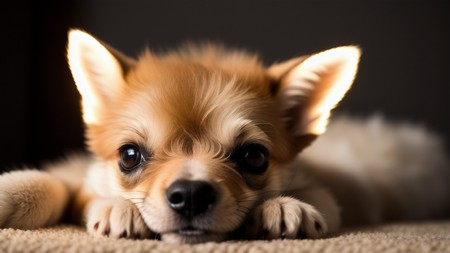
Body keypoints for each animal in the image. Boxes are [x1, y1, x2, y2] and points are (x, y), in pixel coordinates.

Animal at [0, 29, 448, 243]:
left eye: (254, 157)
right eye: (129, 156)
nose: (190, 195)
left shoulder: (327, 191)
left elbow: (314, 198)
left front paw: (283, 207)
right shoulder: (78, 173)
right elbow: (54, 184)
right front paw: (114, 206)